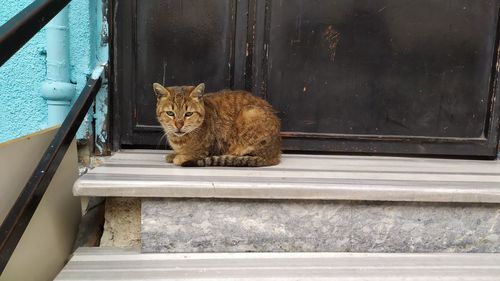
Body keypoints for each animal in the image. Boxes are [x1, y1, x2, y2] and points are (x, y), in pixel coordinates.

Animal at [152, 81, 282, 166]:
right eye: (170, 113)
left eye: (188, 114)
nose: (179, 125)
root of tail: (276, 153)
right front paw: (174, 154)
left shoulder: (211, 148)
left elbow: (196, 153)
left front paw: (180, 157)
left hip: (250, 113)